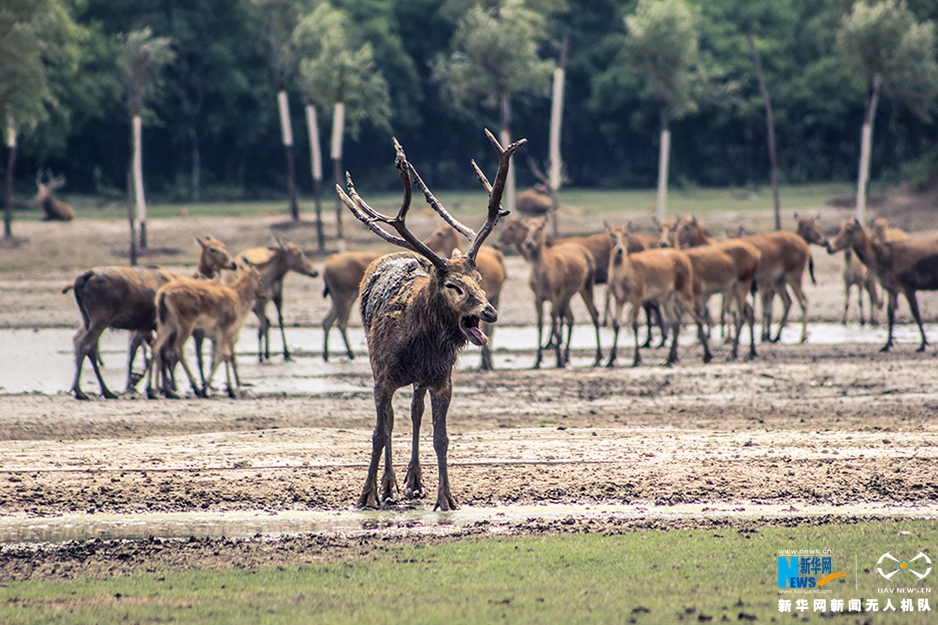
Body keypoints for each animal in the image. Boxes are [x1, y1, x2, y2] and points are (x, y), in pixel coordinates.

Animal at [64, 236, 236, 398]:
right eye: (212, 249)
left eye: (223, 246)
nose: (233, 264)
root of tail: (82, 279)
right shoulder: (164, 326)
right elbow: (166, 354)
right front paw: (168, 389)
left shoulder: (151, 326)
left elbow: (160, 354)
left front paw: (162, 388)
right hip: (101, 318)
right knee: (86, 345)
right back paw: (84, 391)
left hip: (89, 320)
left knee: (85, 345)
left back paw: (102, 390)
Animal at [146, 260, 266, 398]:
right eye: (260, 278)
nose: (264, 296)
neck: (237, 296)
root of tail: (163, 293)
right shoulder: (224, 330)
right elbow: (224, 356)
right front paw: (226, 390)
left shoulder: (218, 336)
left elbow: (219, 357)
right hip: (185, 326)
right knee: (177, 348)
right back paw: (195, 388)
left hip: (167, 325)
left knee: (155, 346)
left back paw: (151, 391)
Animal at [338, 129, 528, 510]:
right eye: (453, 285)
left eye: (479, 279)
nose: (489, 312)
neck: (418, 344)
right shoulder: (383, 374)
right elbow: (378, 432)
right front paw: (366, 495)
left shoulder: (442, 378)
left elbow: (441, 437)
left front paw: (447, 498)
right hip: (378, 365)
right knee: (391, 421)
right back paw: (389, 486)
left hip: (421, 380)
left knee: (414, 411)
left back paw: (413, 482)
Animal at [520, 217, 600, 368]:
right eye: (526, 227)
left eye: (540, 227)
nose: (528, 243)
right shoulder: (537, 297)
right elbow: (540, 324)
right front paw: (537, 361)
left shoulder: (555, 295)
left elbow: (555, 321)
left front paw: (558, 360)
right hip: (568, 295)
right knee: (571, 319)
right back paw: (567, 357)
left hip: (587, 285)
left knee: (595, 315)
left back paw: (598, 358)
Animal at [604, 223, 704, 366]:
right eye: (612, 234)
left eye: (625, 234)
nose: (620, 250)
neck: (624, 276)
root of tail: (684, 257)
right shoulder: (619, 299)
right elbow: (617, 325)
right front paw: (611, 360)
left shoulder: (637, 297)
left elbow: (635, 325)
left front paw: (637, 359)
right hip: (666, 297)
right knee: (676, 320)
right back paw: (669, 359)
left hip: (683, 291)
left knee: (698, 319)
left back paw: (707, 355)